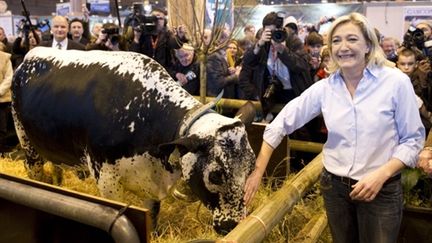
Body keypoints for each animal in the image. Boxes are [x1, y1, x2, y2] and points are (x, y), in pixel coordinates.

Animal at [11, 46, 256, 234]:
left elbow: (153, 214)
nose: (232, 226)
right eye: (215, 174)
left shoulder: (151, 182)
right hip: (26, 140)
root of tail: (30, 56)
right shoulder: (106, 179)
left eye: (251, 169)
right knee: (33, 168)